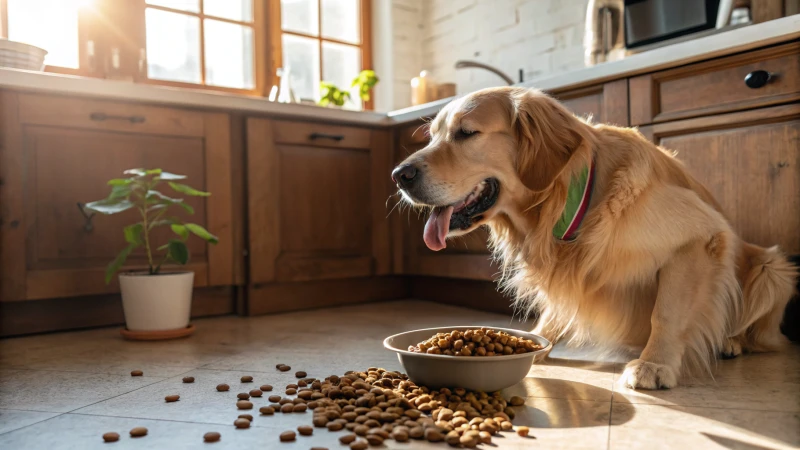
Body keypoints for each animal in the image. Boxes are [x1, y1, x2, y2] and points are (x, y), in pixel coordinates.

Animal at [390, 86, 796, 388]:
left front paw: (654, 364)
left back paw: (730, 342)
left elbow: (665, 313)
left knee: (755, 332)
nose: (399, 175)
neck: (569, 198)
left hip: (772, 269)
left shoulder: (700, 236)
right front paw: (536, 342)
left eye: (466, 133)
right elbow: (553, 313)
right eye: (432, 136)